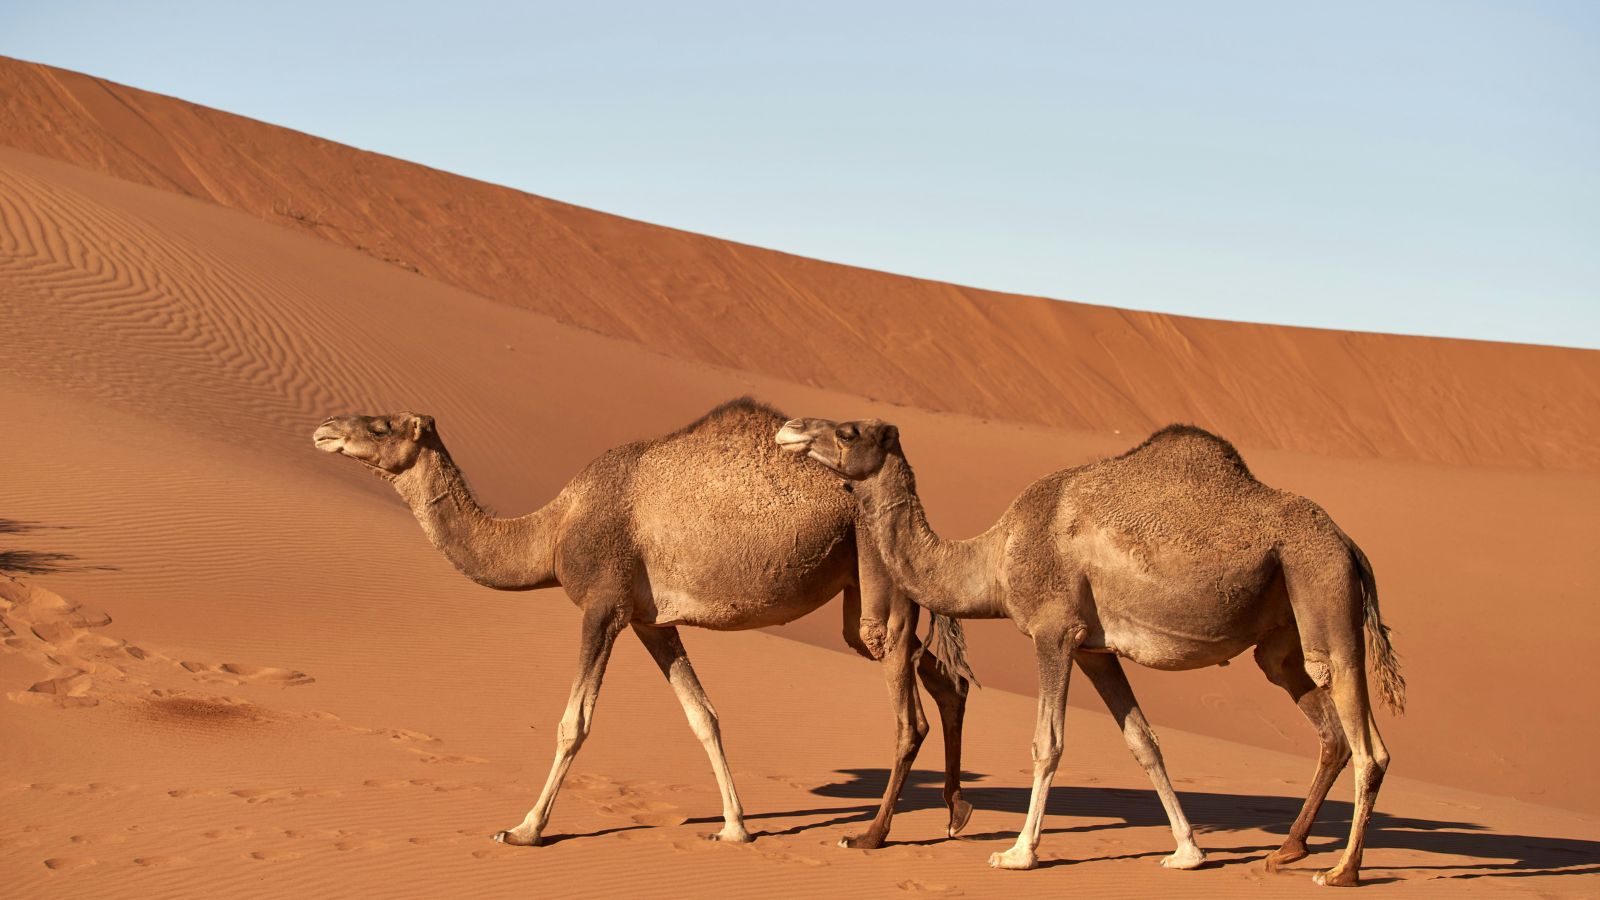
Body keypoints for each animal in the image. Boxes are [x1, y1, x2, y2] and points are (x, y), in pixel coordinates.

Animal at [312, 398, 977, 849]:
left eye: (380, 425)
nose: (326, 427)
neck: (551, 530)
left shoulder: (602, 604)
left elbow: (573, 723)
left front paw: (524, 828)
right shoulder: (649, 620)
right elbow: (702, 715)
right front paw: (735, 827)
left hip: (878, 581)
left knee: (907, 704)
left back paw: (875, 835)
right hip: (859, 593)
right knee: (944, 676)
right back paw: (955, 812)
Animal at [776, 417, 1405, 887]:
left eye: (848, 431)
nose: (790, 428)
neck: (994, 557)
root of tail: (1351, 545)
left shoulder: (1053, 631)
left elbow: (1047, 742)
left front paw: (1018, 853)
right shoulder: (1094, 648)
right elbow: (1143, 742)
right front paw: (1187, 851)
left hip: (1321, 587)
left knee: (1367, 742)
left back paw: (1343, 871)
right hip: (1282, 638)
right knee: (1325, 727)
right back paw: (1287, 850)